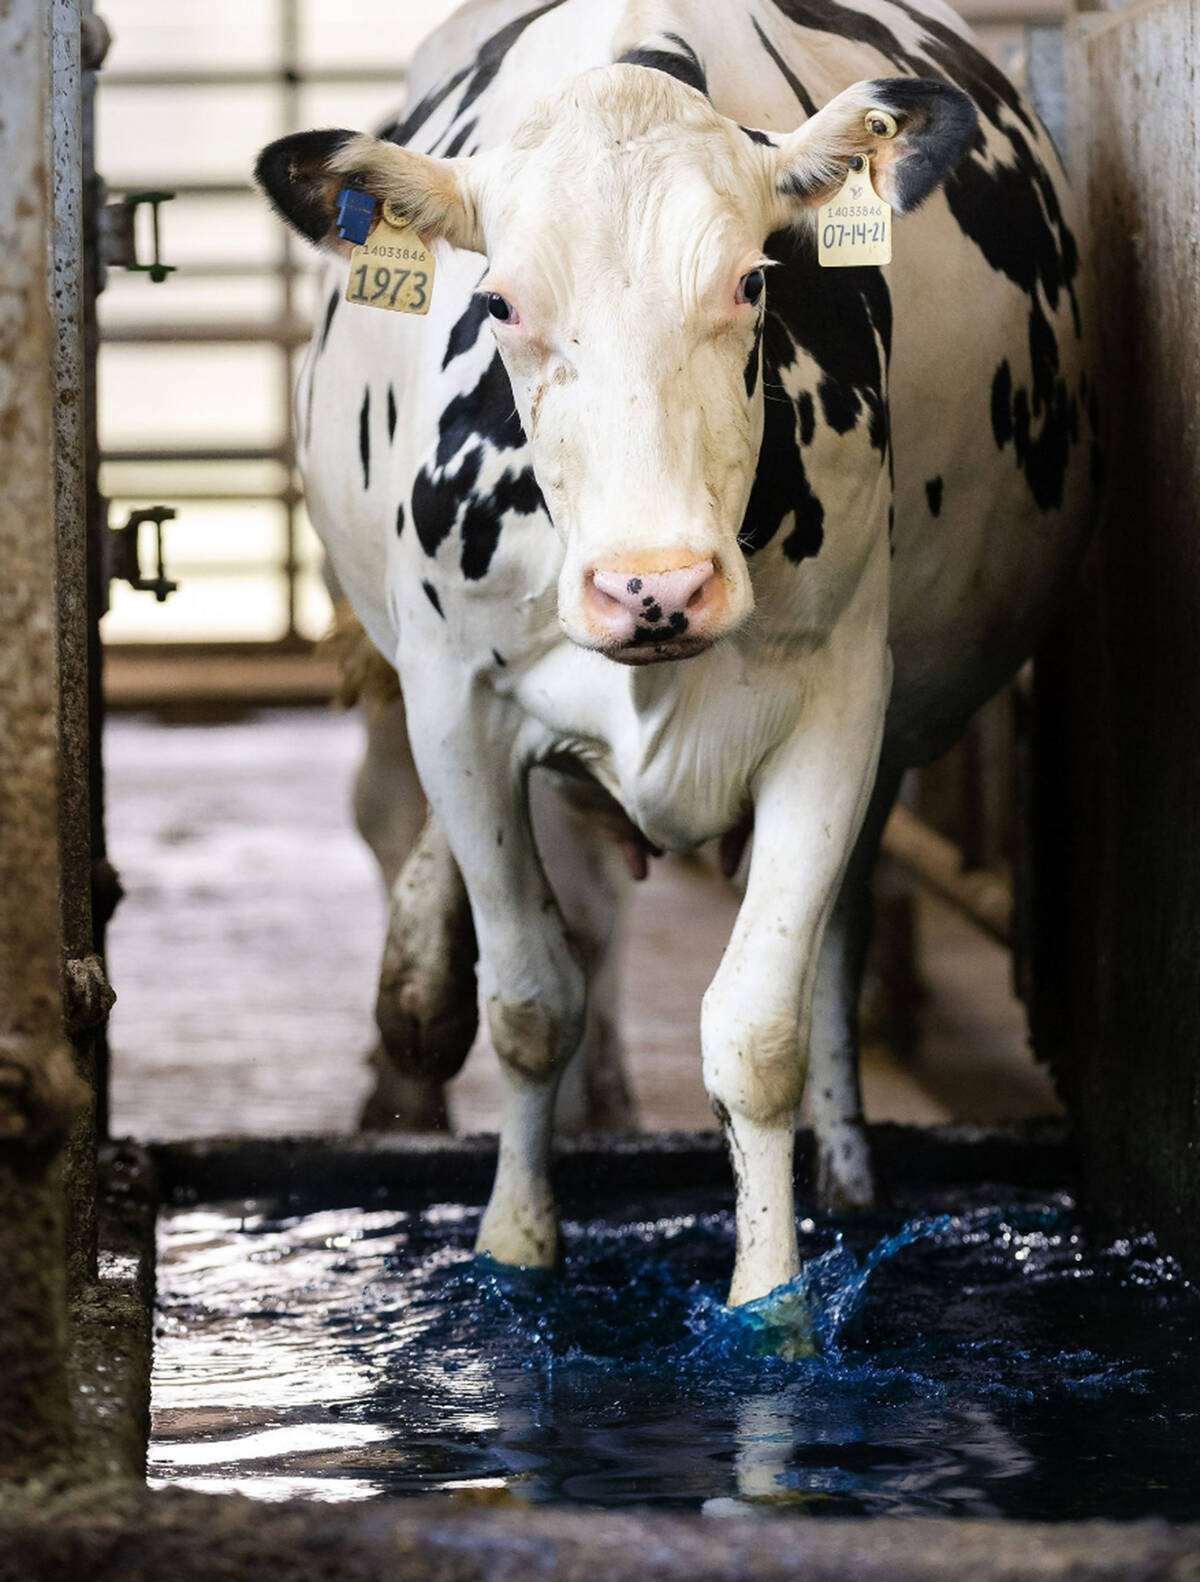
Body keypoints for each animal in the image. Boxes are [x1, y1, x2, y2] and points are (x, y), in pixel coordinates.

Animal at [257, 0, 1094, 1309]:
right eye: (500, 303)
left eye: (754, 278)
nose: (655, 584)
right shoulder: (455, 703)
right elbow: (530, 1001)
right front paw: (515, 1251)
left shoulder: (841, 706)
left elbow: (759, 1028)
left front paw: (772, 1307)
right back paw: (418, 986)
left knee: (841, 939)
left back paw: (848, 1168)